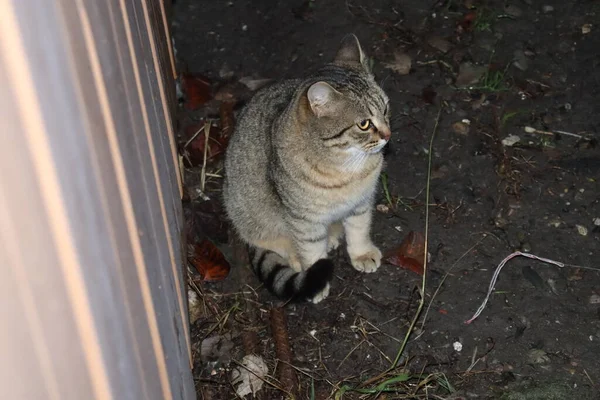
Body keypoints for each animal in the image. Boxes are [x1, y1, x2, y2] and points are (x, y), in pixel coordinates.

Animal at [223, 35, 392, 304]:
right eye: (364, 124)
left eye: (385, 109)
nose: (388, 135)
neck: (347, 166)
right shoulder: (304, 220)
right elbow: (311, 249)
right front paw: (316, 279)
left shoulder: (361, 203)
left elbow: (359, 228)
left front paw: (362, 253)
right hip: (252, 216)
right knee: (274, 243)